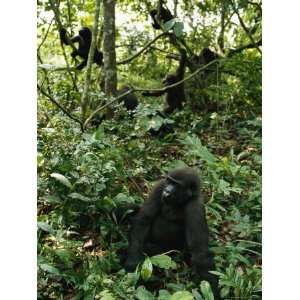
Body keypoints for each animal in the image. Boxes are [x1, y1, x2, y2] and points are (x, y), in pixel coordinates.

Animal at [124, 168, 220, 298]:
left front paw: (212, 290)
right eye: (169, 181)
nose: (167, 190)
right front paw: (132, 261)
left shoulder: (196, 206)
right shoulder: (159, 186)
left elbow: (200, 252)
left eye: (176, 185)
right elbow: (144, 219)